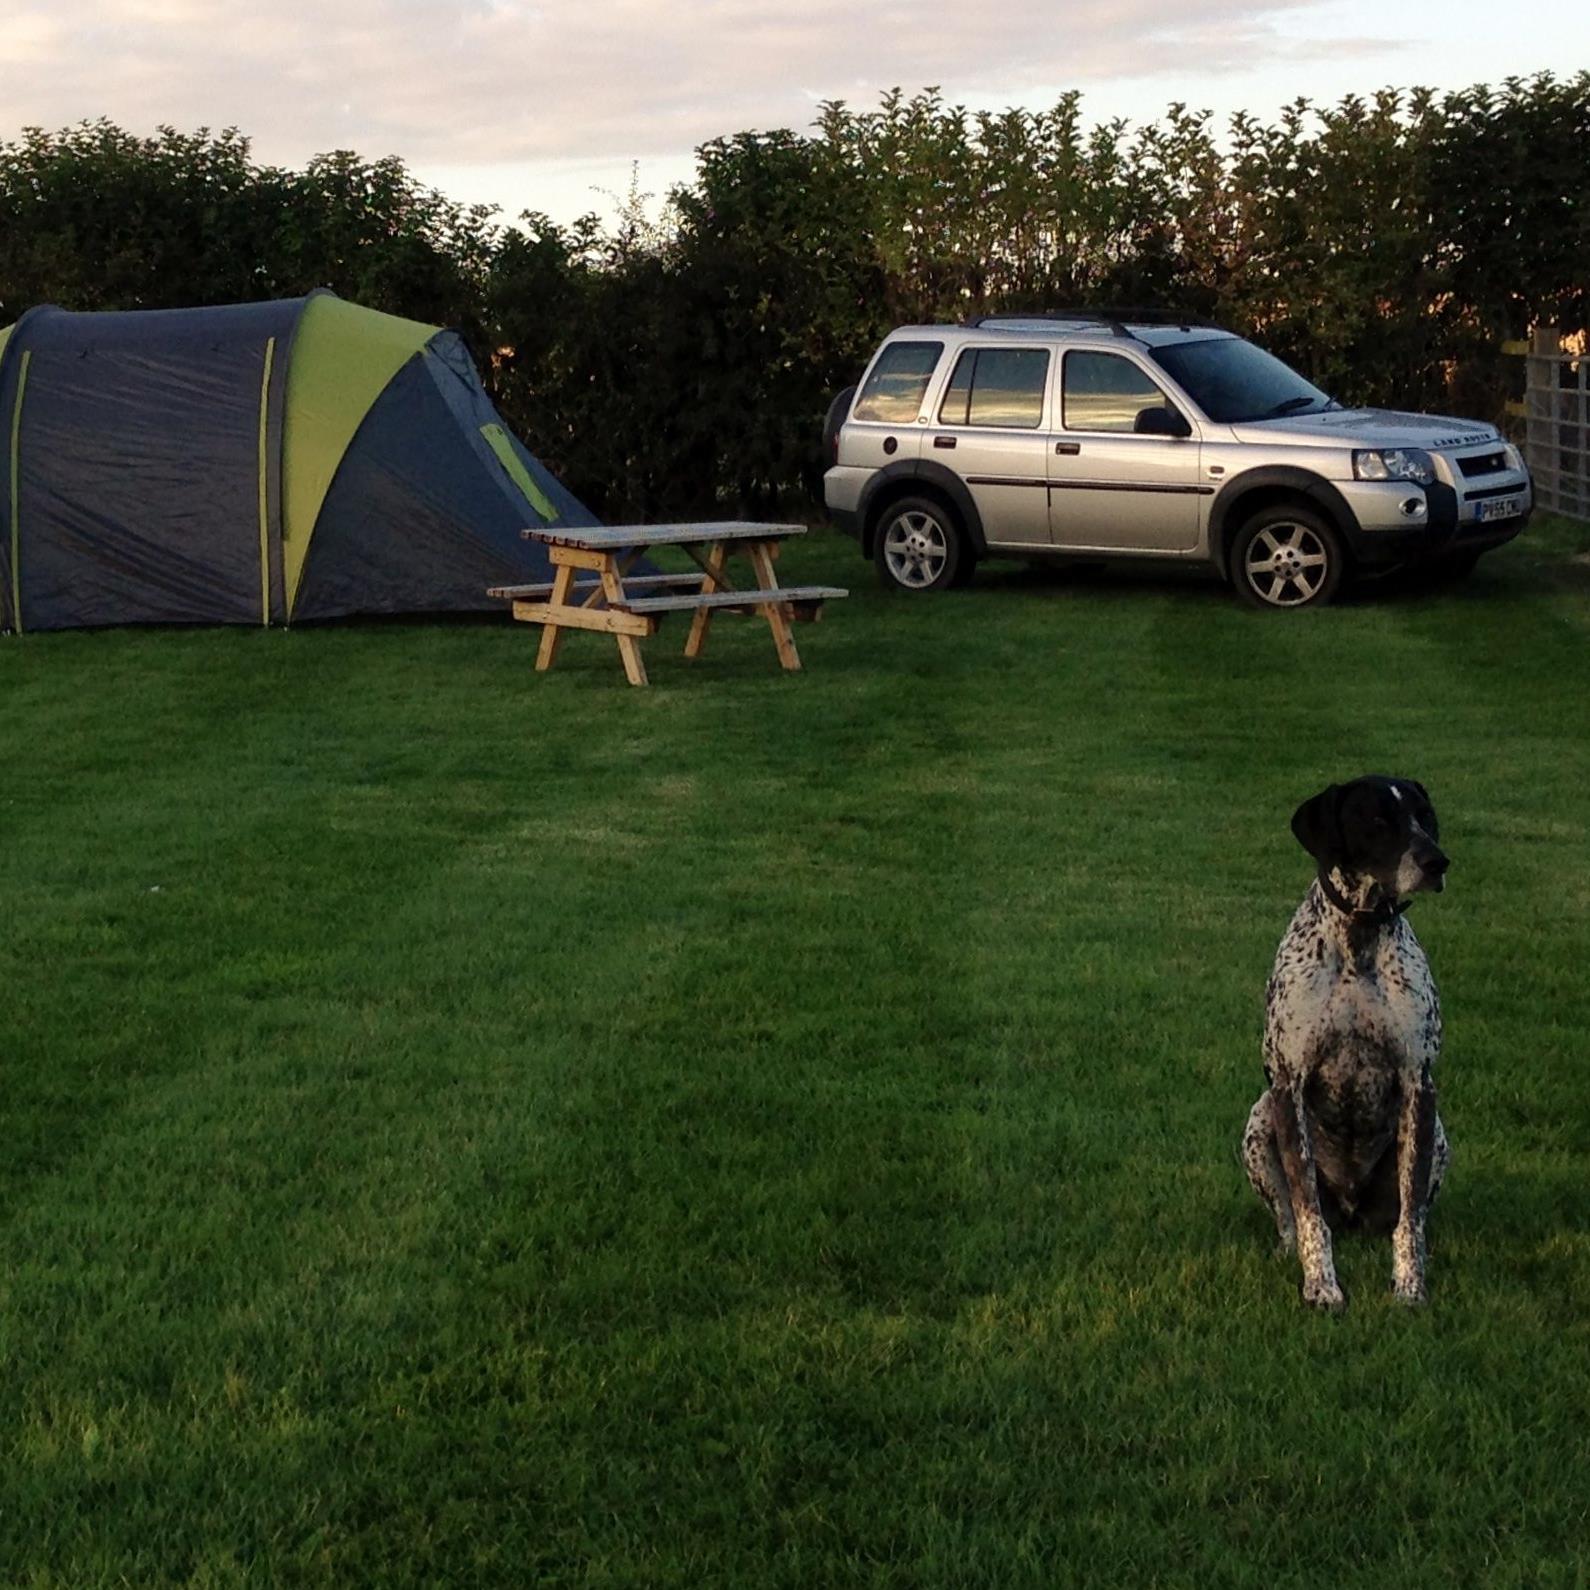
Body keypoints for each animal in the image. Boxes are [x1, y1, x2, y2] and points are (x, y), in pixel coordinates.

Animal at [1240, 775, 1456, 1310]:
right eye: (1376, 819)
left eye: (1425, 815)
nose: (1437, 862)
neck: (1358, 940)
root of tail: (1354, 1210)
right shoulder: (1288, 1086)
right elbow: (1308, 1214)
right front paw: (1321, 1284)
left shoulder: (1418, 1085)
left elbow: (1411, 1221)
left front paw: (1410, 1284)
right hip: (1258, 1123)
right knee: (1290, 1220)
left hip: (1438, 1135)